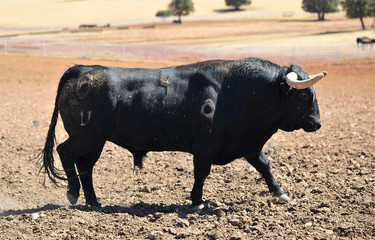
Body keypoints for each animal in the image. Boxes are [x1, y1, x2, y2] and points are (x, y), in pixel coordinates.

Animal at [39, 56, 324, 208]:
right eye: (304, 95)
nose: (317, 123)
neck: (236, 90)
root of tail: (83, 69)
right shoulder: (205, 146)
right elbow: (201, 173)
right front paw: (197, 201)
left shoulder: (249, 145)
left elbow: (265, 166)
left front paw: (281, 193)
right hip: (87, 137)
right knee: (65, 153)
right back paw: (73, 193)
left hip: (95, 141)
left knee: (85, 167)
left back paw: (94, 202)